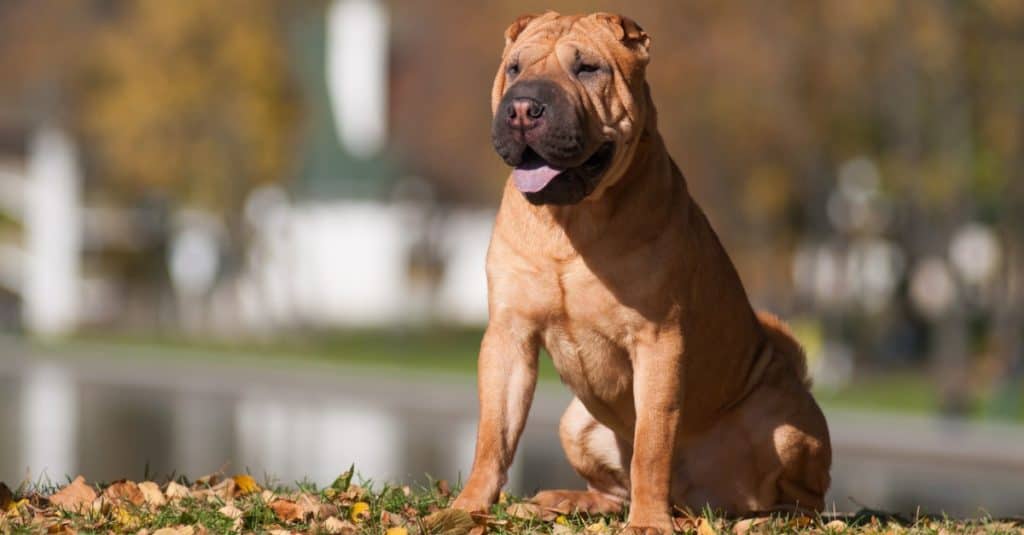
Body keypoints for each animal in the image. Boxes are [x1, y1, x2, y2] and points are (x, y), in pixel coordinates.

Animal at [454, 11, 831, 528]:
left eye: (587, 68)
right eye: (514, 68)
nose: (524, 108)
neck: (570, 223)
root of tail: (695, 501)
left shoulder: (658, 340)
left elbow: (652, 443)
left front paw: (649, 523)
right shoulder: (509, 336)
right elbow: (493, 436)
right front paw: (465, 508)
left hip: (785, 424)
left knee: (806, 500)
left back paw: (765, 517)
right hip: (575, 423)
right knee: (614, 489)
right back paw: (568, 500)